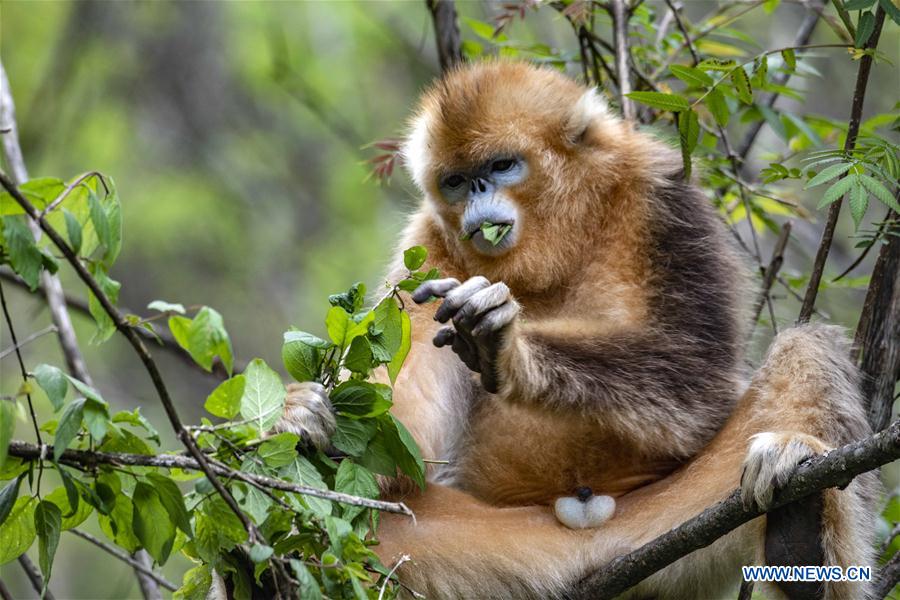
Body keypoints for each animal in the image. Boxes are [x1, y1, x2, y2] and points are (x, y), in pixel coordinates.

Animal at [275, 61, 878, 599]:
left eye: (502, 165)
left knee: (807, 344)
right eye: (456, 181)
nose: (477, 193)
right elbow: (403, 447)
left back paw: (799, 521)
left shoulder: (662, 196)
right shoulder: (426, 255)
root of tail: (587, 531)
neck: (556, 247)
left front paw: (510, 350)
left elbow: (696, 384)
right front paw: (308, 418)